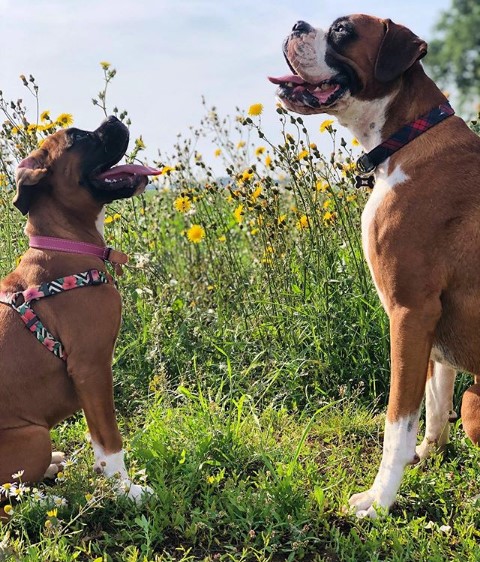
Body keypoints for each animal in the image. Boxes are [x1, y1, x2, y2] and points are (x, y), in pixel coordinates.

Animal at [0, 115, 159, 512]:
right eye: (77, 137)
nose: (115, 119)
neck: (64, 243)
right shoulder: (91, 367)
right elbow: (109, 439)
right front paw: (125, 489)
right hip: (33, 435)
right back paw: (47, 501)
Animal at [268, 14, 480, 516]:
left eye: (343, 31)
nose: (296, 23)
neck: (410, 136)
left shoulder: (410, 312)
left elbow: (396, 422)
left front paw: (380, 500)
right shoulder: (431, 332)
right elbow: (434, 401)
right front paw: (427, 456)